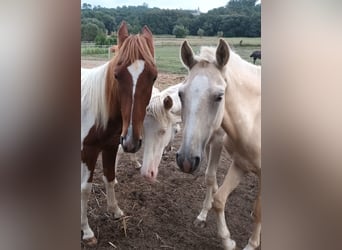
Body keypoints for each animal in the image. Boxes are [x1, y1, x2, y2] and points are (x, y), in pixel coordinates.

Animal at [81, 21, 157, 246]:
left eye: (154, 77)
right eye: (116, 75)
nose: (131, 141)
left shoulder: (111, 146)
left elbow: (109, 177)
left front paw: (115, 211)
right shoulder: (88, 151)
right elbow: (85, 189)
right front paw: (86, 231)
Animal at [176, 39, 262, 250]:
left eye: (219, 96)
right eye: (181, 94)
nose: (185, 161)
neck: (254, 120)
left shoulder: (217, 142)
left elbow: (258, 210)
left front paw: (252, 244)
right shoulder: (238, 162)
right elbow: (216, 193)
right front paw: (226, 240)